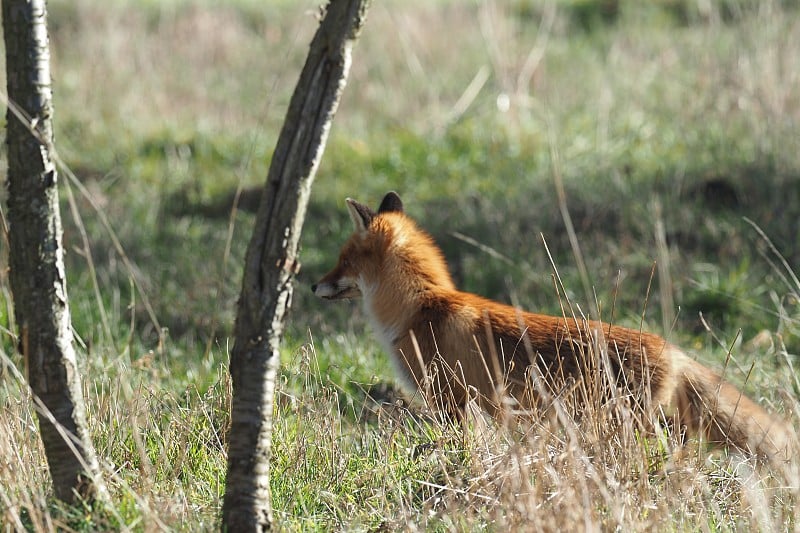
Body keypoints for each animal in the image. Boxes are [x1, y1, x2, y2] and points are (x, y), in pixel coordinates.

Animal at [312, 191, 792, 462]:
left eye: (343, 260)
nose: (313, 284)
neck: (422, 305)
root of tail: (672, 349)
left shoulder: (450, 401)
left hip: (625, 420)